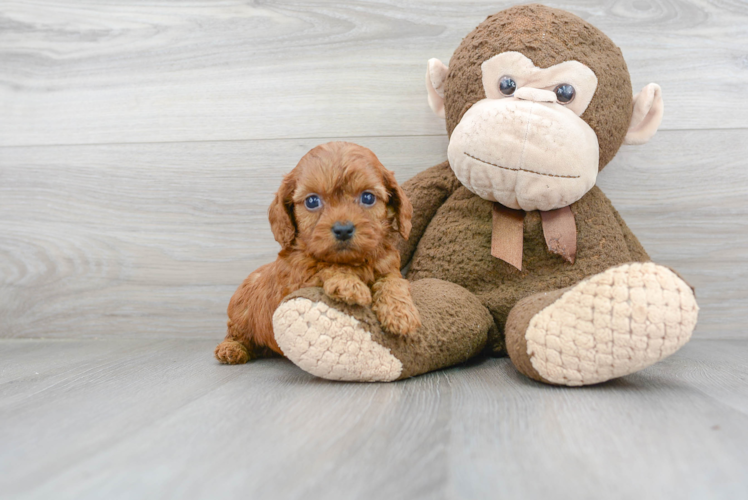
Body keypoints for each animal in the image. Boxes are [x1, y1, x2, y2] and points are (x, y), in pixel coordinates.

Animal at [215, 141, 420, 364]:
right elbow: (323, 267)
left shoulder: (389, 267)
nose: (343, 230)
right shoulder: (296, 280)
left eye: (368, 197)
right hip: (241, 315)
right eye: (312, 201)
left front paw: (400, 313)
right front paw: (349, 285)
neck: (351, 261)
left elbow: (393, 282)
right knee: (236, 333)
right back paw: (231, 349)